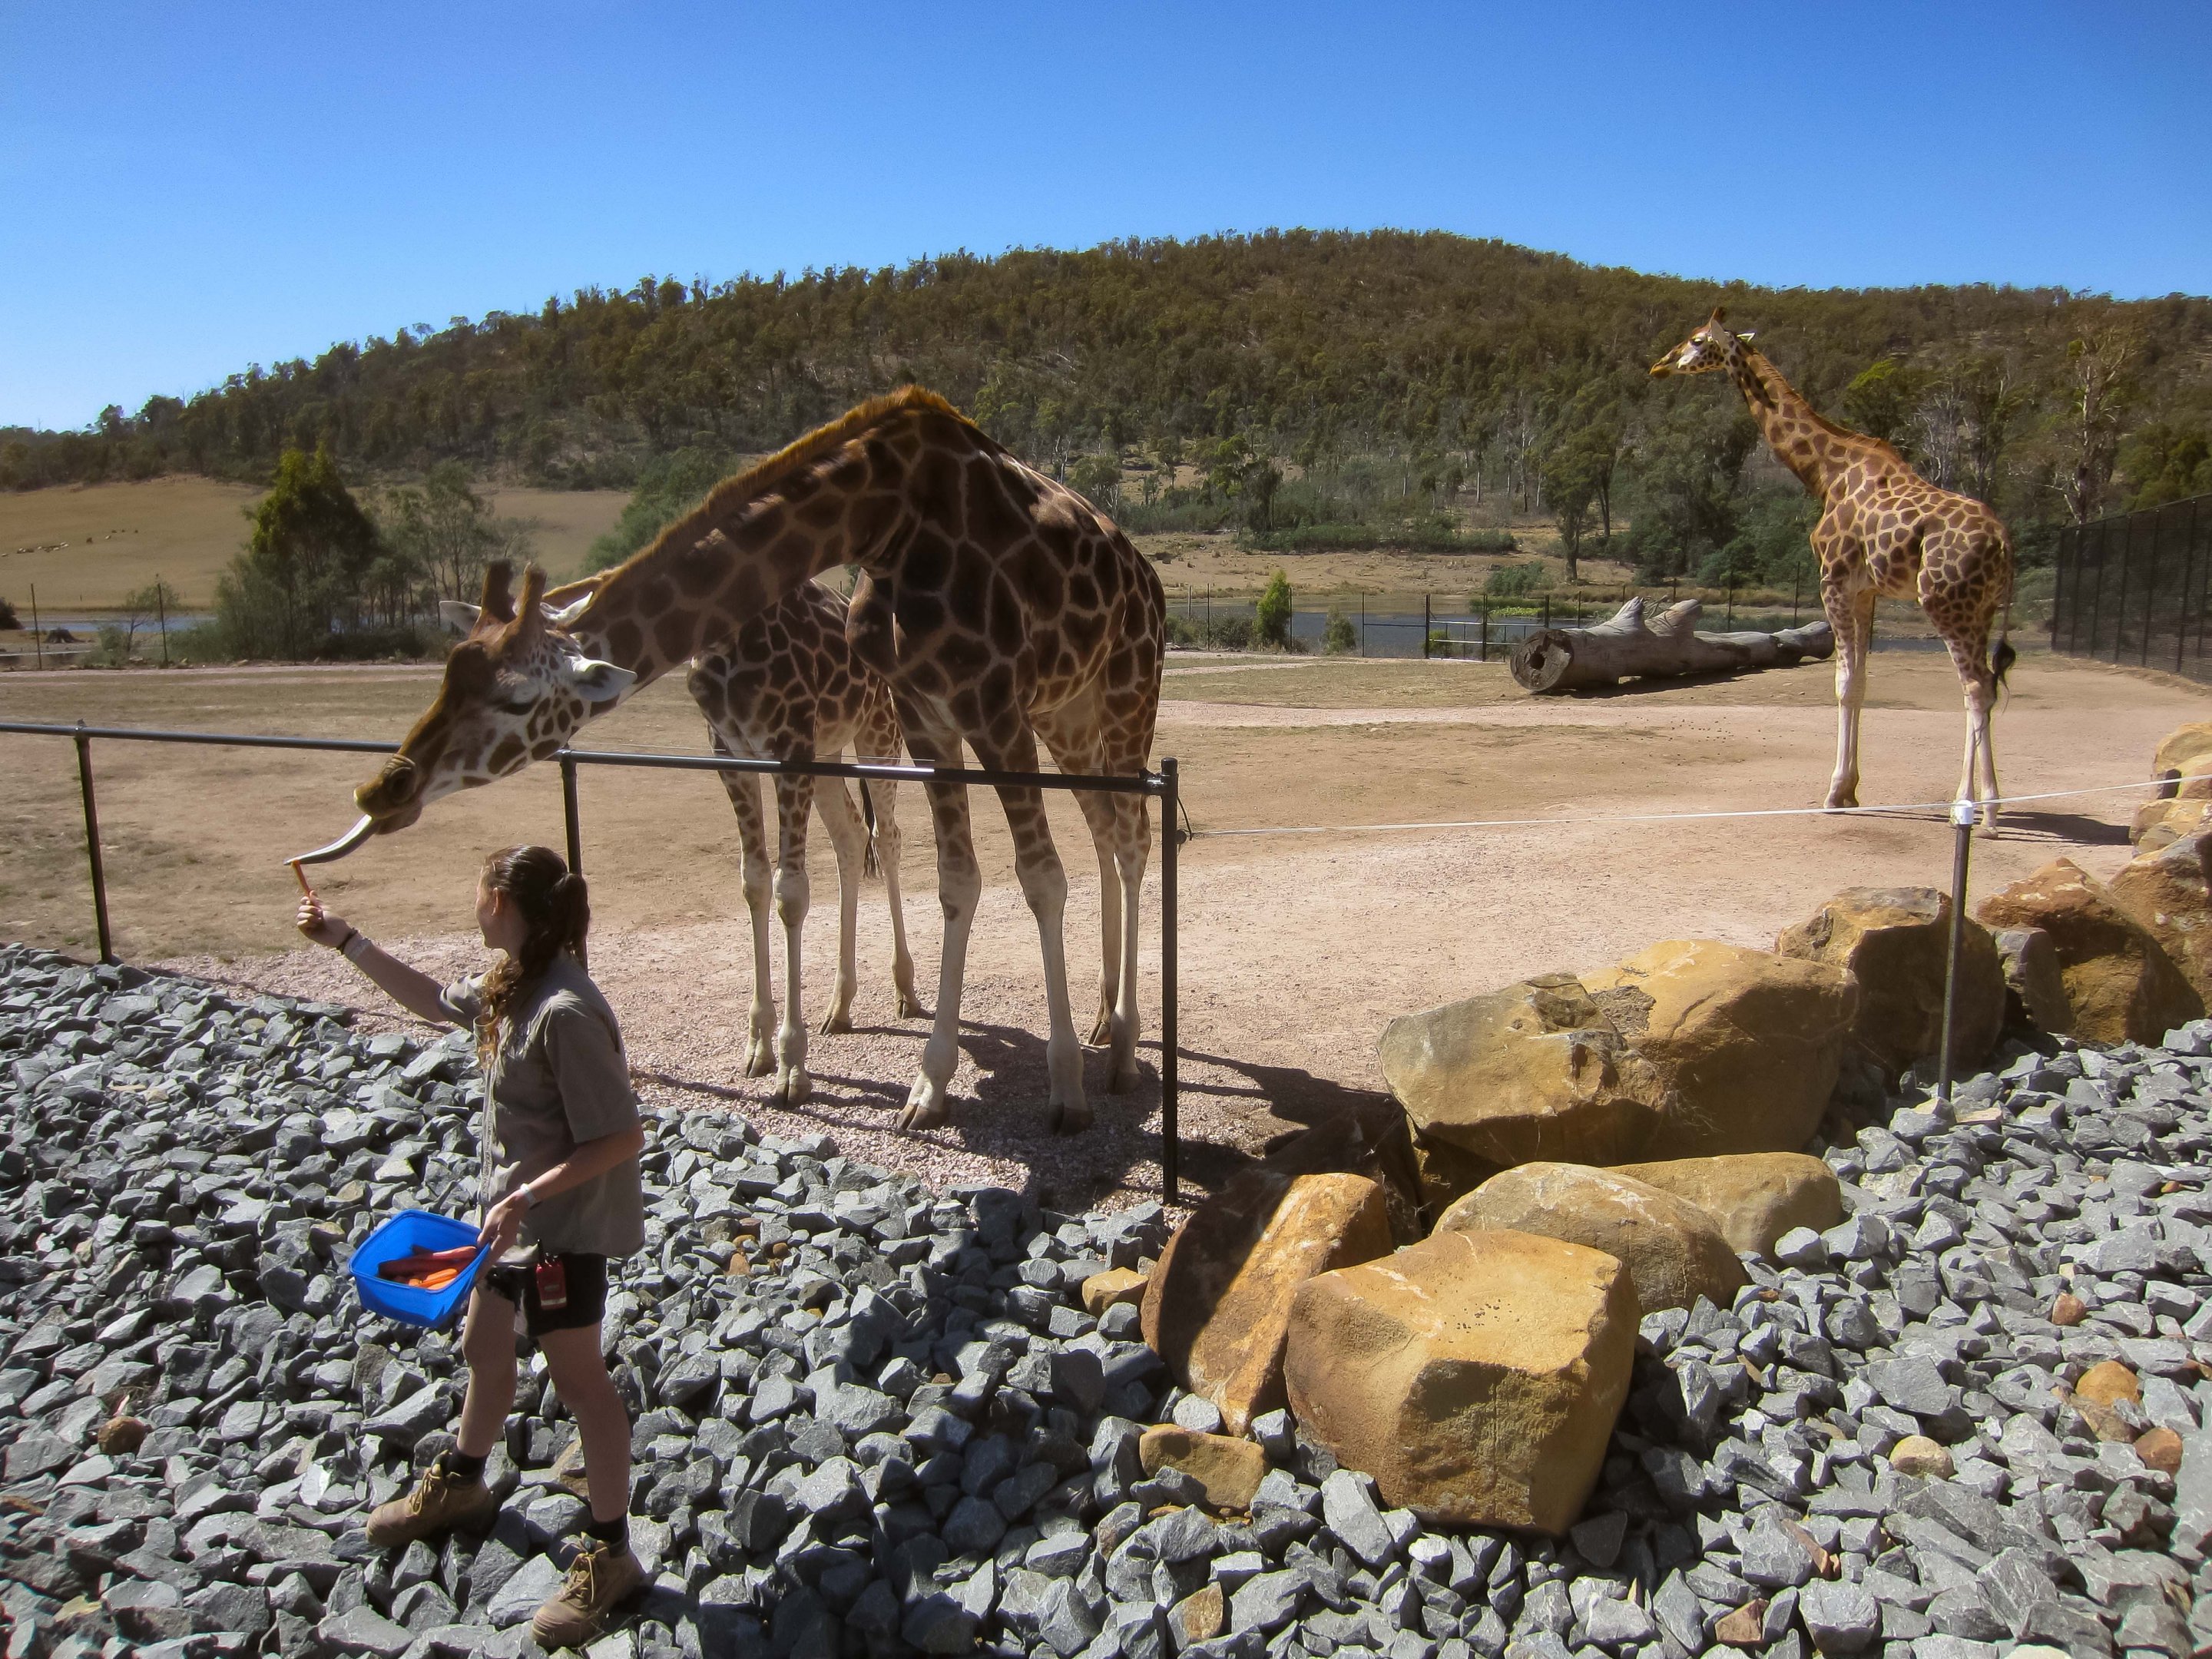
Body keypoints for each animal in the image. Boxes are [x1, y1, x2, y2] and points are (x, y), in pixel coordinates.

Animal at [299, 388, 1166, 1134]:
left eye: (514, 700)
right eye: (449, 670)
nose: (385, 787)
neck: (882, 517)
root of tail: (1148, 580)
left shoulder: (979, 706)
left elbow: (1036, 878)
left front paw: (1063, 1092)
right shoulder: (913, 716)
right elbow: (945, 881)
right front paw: (922, 1084)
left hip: (1120, 696)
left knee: (1129, 839)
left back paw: (1121, 1051)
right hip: (1063, 716)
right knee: (1094, 829)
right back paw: (1099, 1017)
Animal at [1651, 309, 2016, 829]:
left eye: (1698, 341)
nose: (1660, 365)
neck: (1826, 472)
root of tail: (2003, 542)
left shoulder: (1834, 580)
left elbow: (1842, 684)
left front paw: (1833, 793)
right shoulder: (1866, 592)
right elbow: (1859, 683)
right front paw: (1850, 789)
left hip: (1947, 604)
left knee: (1975, 687)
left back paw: (1968, 807)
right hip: (1981, 610)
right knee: (1987, 684)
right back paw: (1989, 808)